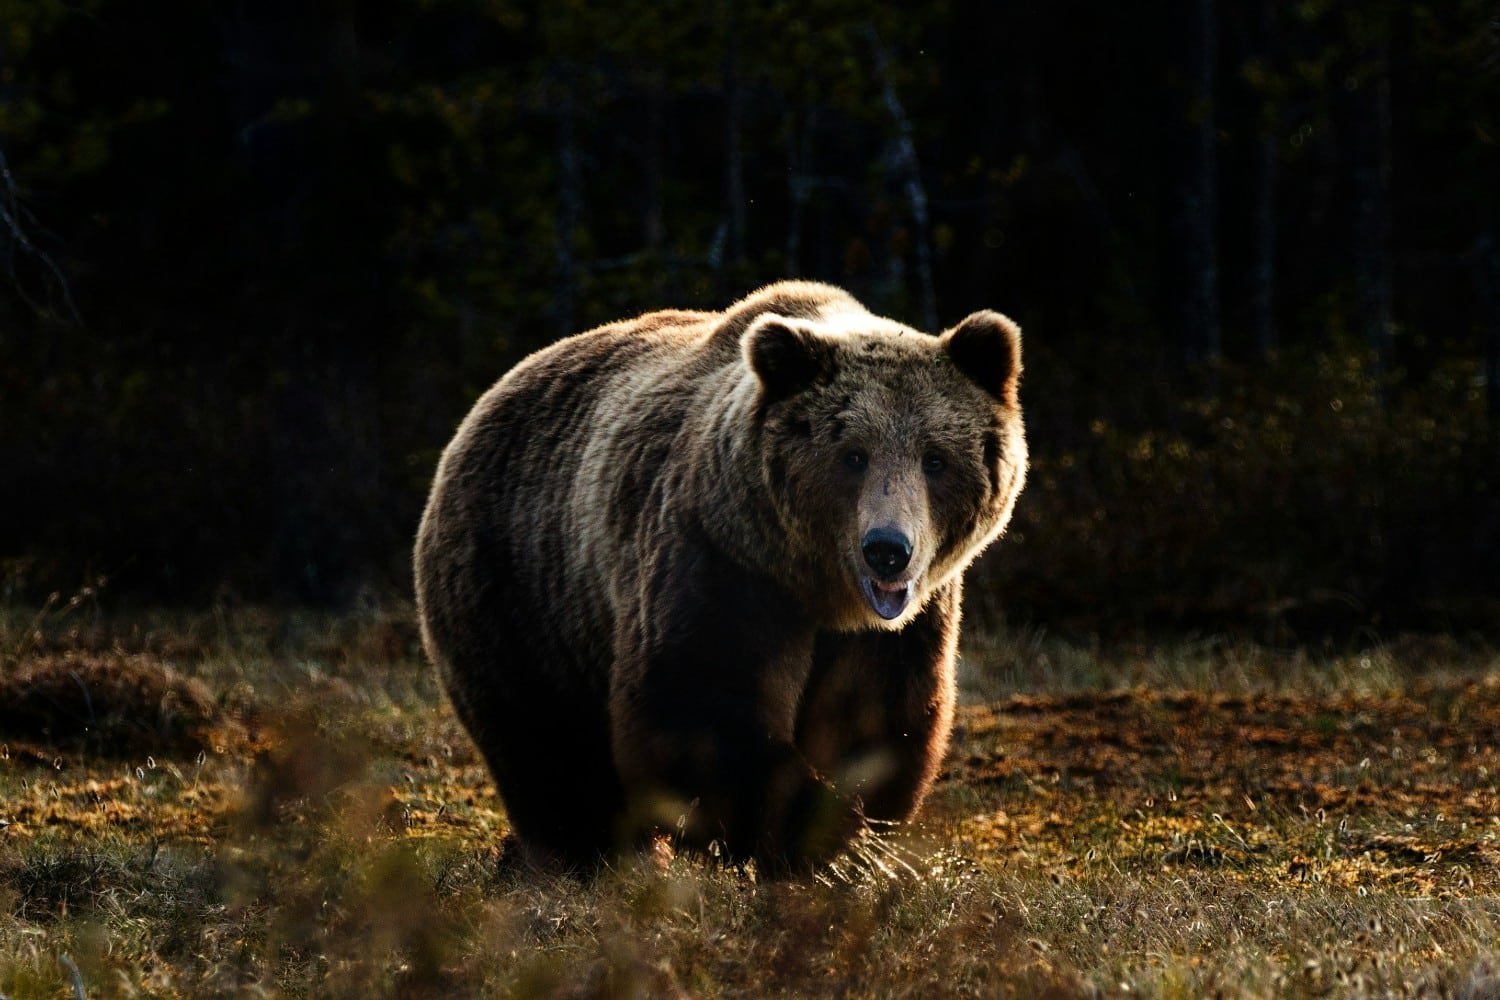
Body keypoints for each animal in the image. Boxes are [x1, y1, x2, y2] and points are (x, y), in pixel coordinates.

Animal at [413, 280, 1027, 873]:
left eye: (935, 458)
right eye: (853, 455)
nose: (887, 551)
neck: (818, 587)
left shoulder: (902, 625)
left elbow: (877, 719)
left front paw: (853, 838)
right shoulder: (721, 560)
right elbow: (699, 705)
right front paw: (819, 840)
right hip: (521, 586)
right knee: (546, 743)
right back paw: (584, 855)